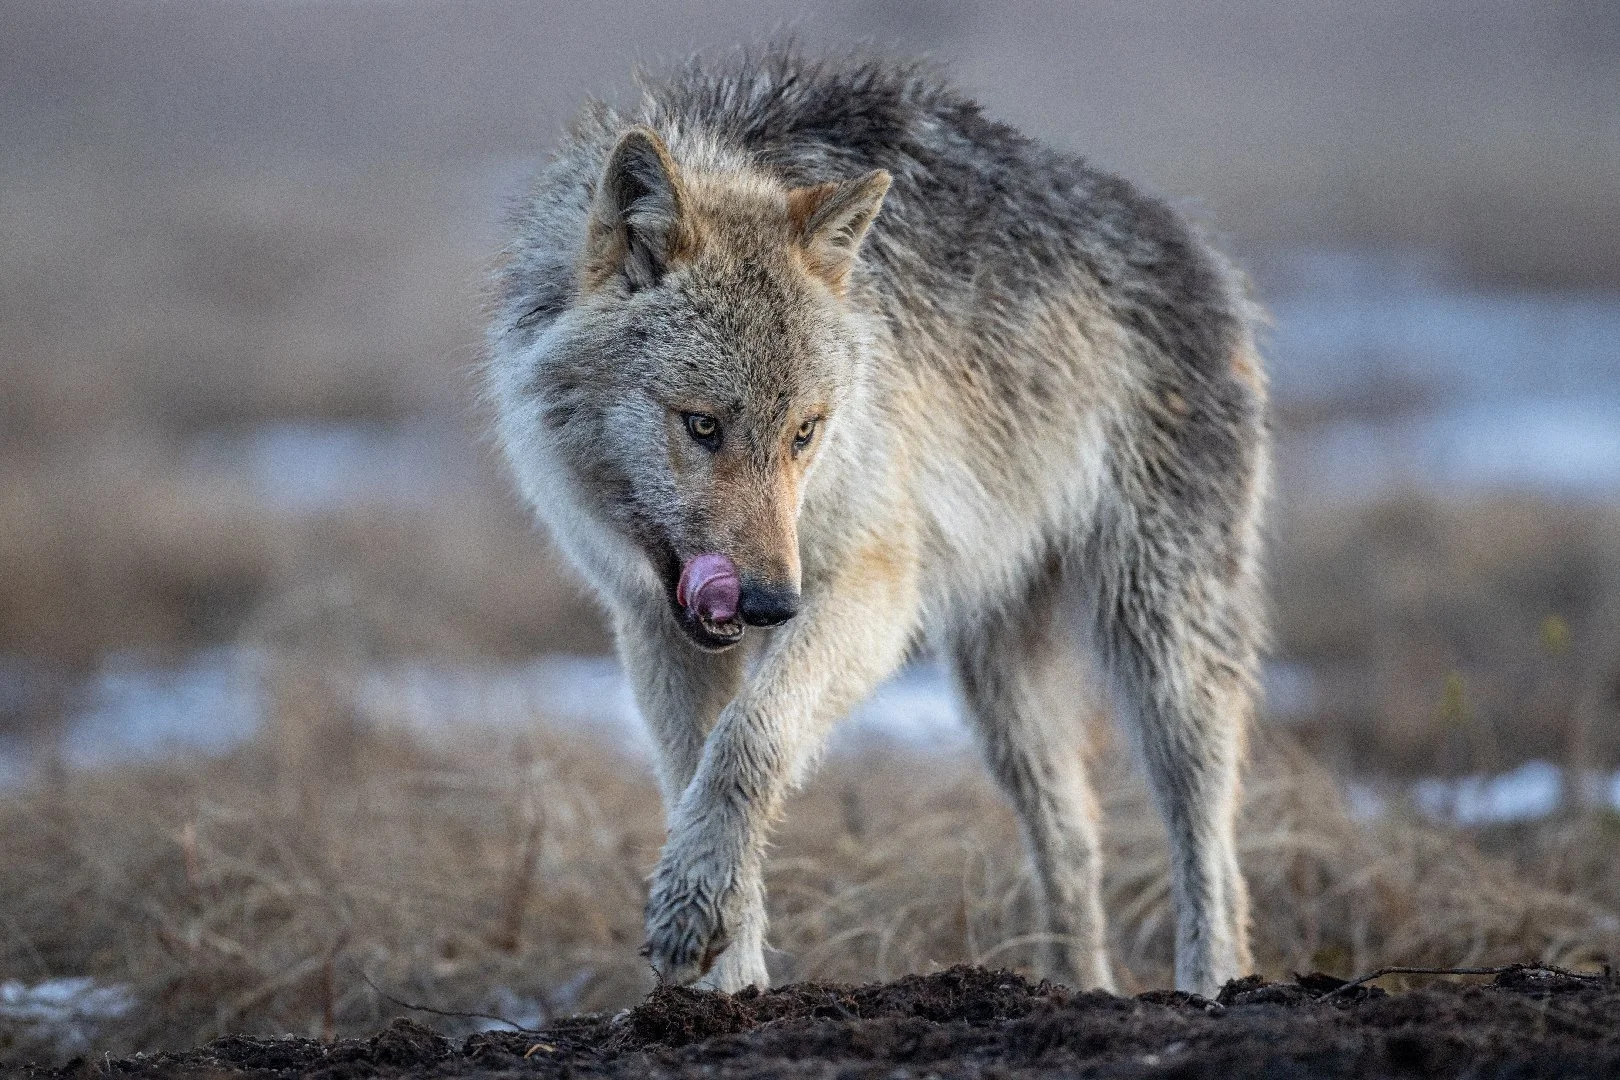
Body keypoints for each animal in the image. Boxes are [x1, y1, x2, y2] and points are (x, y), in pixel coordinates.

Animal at [486, 46, 1268, 997]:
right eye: (702, 426)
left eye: (805, 432)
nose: (768, 604)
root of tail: (1195, 244)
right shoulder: (651, 625)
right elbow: (697, 775)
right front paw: (727, 979)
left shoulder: (873, 589)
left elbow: (749, 742)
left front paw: (690, 911)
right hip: (1001, 690)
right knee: (1074, 841)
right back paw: (1081, 990)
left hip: (1160, 642)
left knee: (1209, 841)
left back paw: (1214, 989)